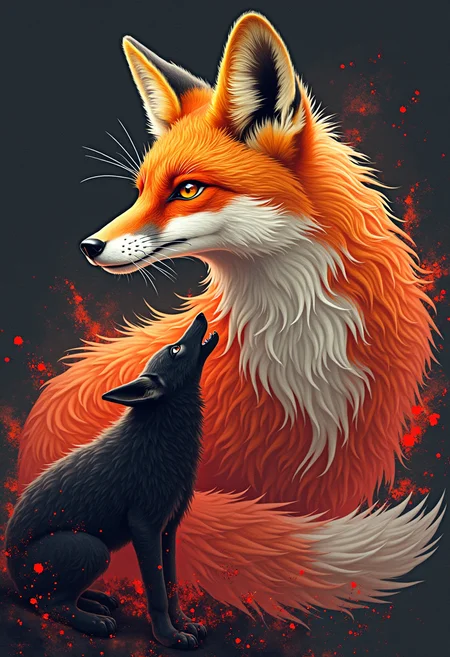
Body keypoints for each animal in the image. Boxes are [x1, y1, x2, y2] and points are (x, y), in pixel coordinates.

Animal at [7, 314, 216, 648]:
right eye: (175, 349)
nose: (199, 317)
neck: (161, 438)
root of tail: (13, 575)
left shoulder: (168, 529)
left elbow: (171, 585)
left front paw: (185, 625)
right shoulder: (144, 528)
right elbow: (157, 592)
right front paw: (168, 636)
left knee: (59, 598)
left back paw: (97, 600)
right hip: (93, 549)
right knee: (50, 604)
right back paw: (94, 621)